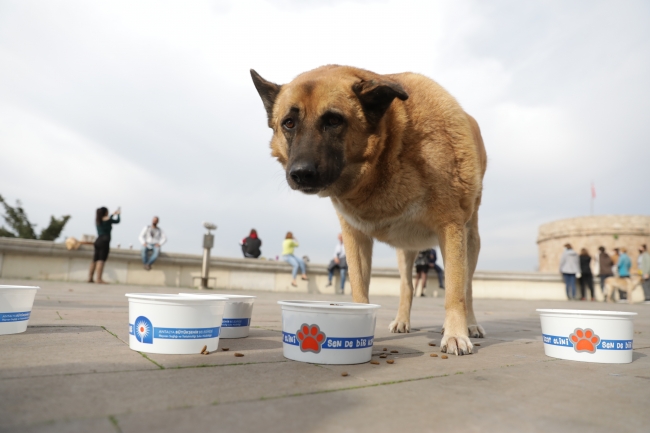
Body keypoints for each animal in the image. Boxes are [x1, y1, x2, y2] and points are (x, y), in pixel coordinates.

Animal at [251, 65, 484, 354]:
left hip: (470, 241)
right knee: (407, 286)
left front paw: (455, 334)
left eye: (334, 120)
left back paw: (471, 325)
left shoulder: (451, 228)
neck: (390, 150)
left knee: (467, 287)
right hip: (406, 251)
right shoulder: (355, 237)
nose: (301, 173)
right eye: (289, 123)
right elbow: (359, 290)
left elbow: (454, 291)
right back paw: (402, 320)